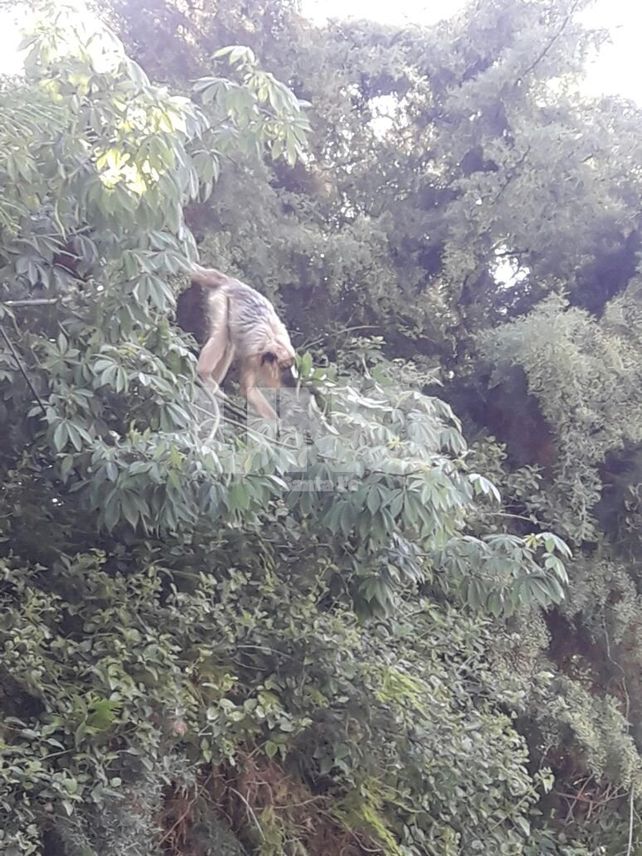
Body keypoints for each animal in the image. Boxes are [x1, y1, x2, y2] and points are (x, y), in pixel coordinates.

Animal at [188, 264, 296, 421]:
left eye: (289, 367)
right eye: (284, 367)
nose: (289, 378)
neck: (273, 343)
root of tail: (231, 282)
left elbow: (249, 390)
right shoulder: (254, 356)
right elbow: (247, 389)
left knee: (229, 344)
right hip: (221, 298)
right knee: (221, 335)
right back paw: (205, 375)